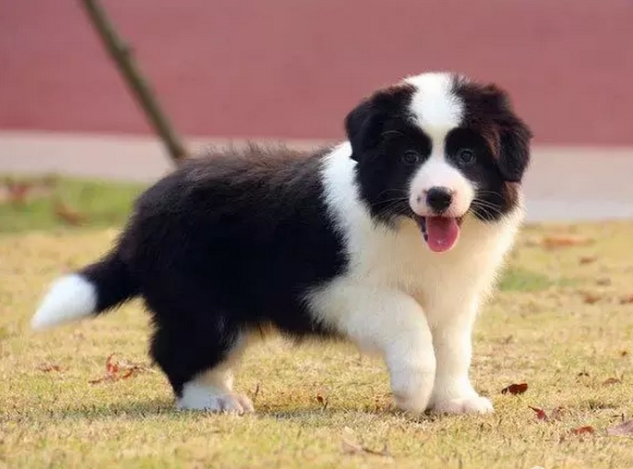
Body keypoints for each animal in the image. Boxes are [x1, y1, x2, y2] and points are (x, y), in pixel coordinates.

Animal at [32, 71, 532, 414]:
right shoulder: (336, 289)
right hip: (202, 300)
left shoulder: (454, 295)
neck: (406, 226)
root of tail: (143, 213)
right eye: (409, 157)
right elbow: (407, 318)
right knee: (176, 348)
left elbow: (452, 346)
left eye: (466, 156)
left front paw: (455, 401)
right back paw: (210, 401)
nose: (439, 195)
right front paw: (413, 391)